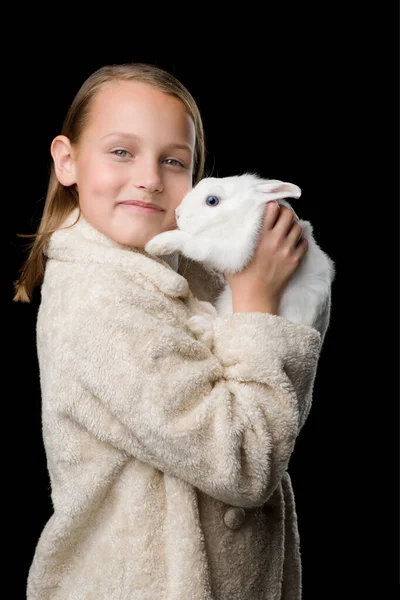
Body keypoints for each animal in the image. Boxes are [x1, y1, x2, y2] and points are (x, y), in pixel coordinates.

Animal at [144, 171, 334, 344]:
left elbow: (195, 242)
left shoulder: (234, 250)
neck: (243, 215)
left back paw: (199, 324)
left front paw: (157, 243)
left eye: (212, 200)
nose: (177, 213)